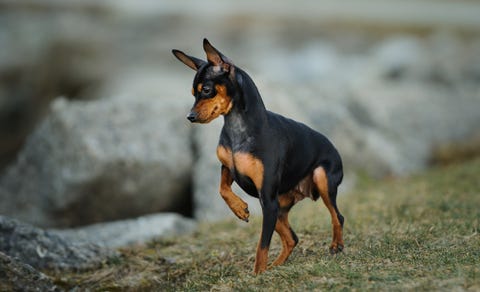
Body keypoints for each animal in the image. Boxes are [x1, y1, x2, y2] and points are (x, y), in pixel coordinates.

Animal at [172, 38, 344, 274]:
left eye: (206, 90)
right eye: (192, 93)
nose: (190, 116)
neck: (238, 129)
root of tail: (334, 148)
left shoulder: (267, 198)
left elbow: (262, 246)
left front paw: (257, 275)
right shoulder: (229, 168)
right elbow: (222, 189)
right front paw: (240, 209)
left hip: (318, 180)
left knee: (338, 216)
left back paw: (336, 245)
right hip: (278, 207)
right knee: (292, 238)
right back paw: (276, 266)